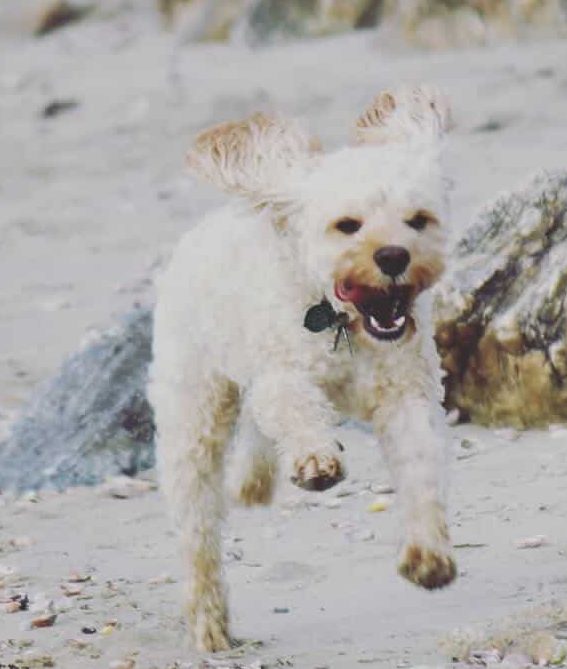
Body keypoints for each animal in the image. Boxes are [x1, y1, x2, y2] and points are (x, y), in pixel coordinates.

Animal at [150, 85, 458, 652]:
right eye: (348, 225)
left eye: (418, 219)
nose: (393, 255)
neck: (343, 322)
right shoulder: (282, 374)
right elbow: (293, 408)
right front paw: (317, 460)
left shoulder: (408, 393)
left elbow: (421, 463)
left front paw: (428, 556)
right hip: (194, 406)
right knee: (197, 526)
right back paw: (209, 622)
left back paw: (253, 480)